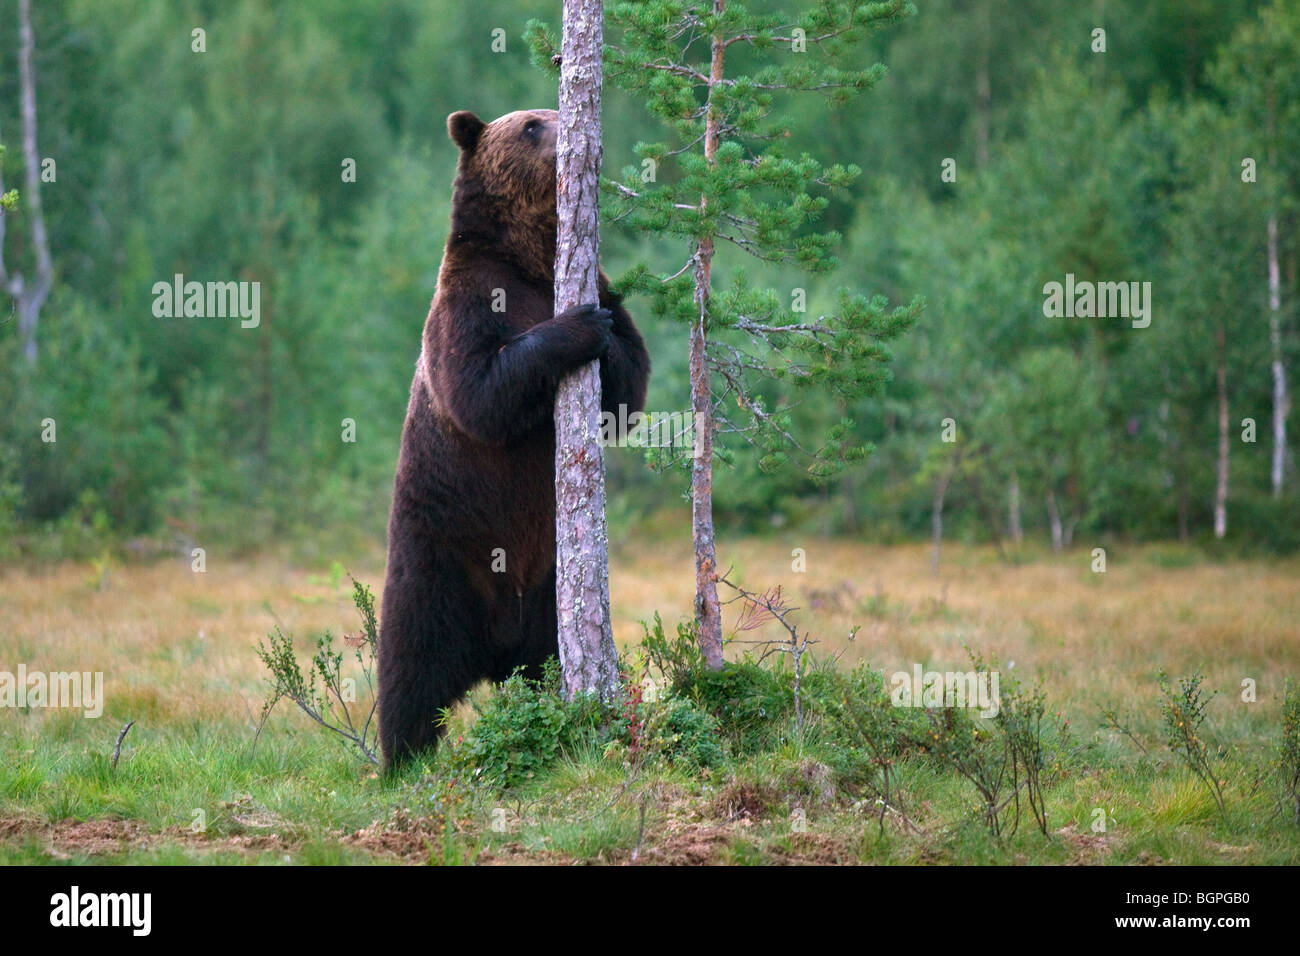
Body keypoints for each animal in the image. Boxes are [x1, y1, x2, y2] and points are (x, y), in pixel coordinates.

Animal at [376, 108, 651, 770]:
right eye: (530, 125)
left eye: (550, 115)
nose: (575, 136)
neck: (530, 259)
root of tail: (493, 649)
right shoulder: (468, 300)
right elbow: (478, 388)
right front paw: (578, 326)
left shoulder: (601, 282)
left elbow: (628, 390)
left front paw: (607, 333)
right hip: (439, 558)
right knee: (410, 665)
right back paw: (402, 758)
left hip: (551, 586)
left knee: (550, 655)